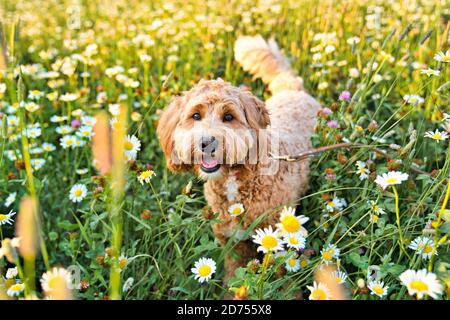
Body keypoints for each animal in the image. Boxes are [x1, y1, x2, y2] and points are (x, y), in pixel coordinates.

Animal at [157, 33, 320, 282]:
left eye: (228, 117)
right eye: (195, 115)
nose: (207, 143)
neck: (235, 179)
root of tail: (293, 89)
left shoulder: (278, 239)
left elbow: (281, 276)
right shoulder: (232, 241)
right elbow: (234, 273)